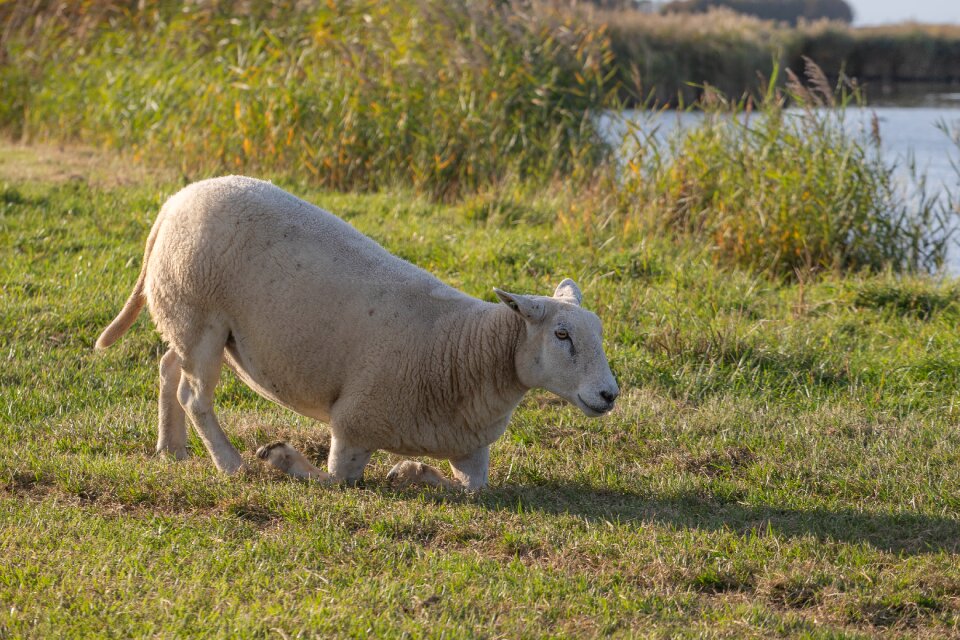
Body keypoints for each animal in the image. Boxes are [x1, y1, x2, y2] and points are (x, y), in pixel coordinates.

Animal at [97, 175, 620, 490]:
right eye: (561, 336)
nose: (609, 394)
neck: (464, 349)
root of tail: (174, 202)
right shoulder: (353, 423)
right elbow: (334, 481)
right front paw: (280, 458)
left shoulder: (471, 452)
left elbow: (470, 489)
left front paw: (410, 470)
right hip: (198, 312)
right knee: (195, 395)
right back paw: (229, 462)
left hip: (185, 317)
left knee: (168, 368)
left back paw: (172, 450)